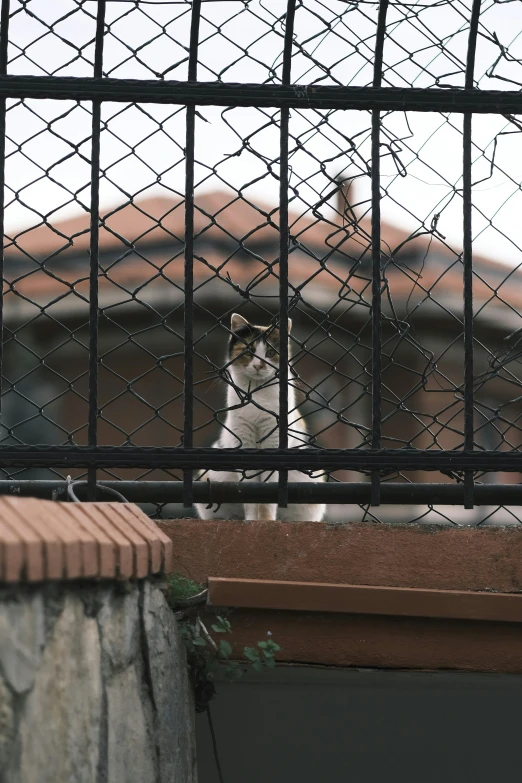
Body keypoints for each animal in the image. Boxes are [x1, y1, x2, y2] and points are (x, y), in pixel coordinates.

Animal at [195, 312, 324, 520]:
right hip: (209, 474)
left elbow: (267, 495)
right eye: (249, 351)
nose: (258, 365)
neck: (255, 395)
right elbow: (249, 492)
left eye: (270, 353)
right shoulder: (243, 440)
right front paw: (251, 521)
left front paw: (266, 521)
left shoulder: (274, 440)